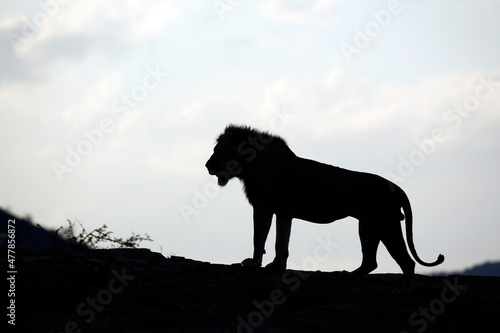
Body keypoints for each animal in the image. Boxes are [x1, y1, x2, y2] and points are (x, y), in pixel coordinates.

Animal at [205, 124, 444, 290]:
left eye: (219, 151)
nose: (207, 165)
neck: (249, 163)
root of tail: (394, 186)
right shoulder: (284, 213)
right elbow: (281, 242)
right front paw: (276, 266)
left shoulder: (263, 207)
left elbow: (259, 237)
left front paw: (254, 264)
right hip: (368, 226)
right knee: (371, 262)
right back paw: (348, 276)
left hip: (385, 224)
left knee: (407, 262)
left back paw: (402, 292)